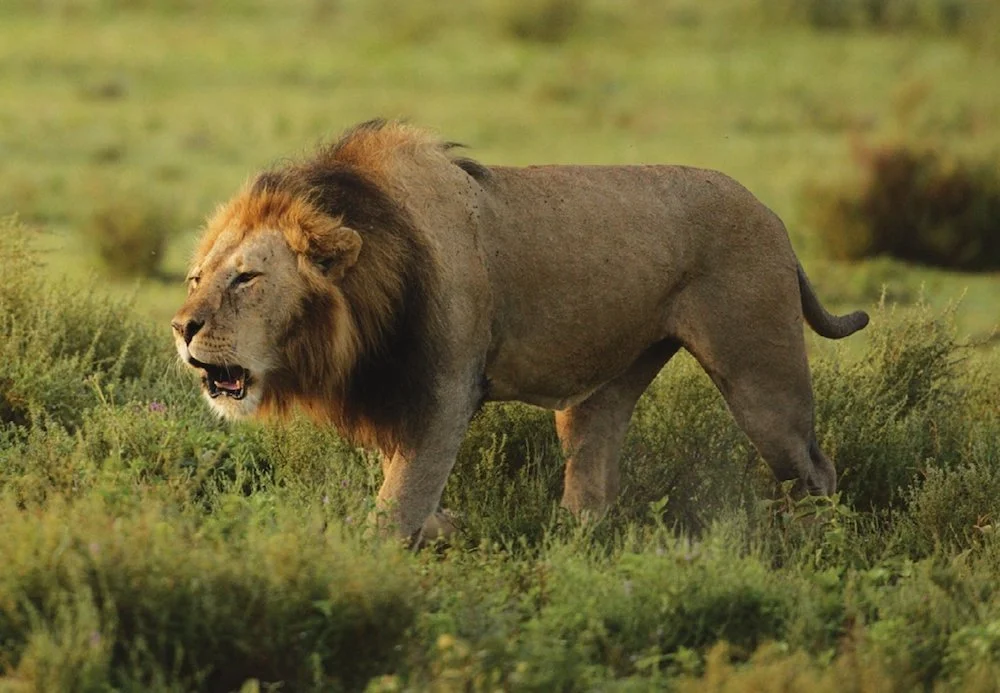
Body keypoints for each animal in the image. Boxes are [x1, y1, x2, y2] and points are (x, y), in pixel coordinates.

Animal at [171, 120, 869, 542]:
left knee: (815, 469)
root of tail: (772, 213)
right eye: (196, 277)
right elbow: (409, 491)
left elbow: (398, 502)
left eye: (245, 279)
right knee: (593, 479)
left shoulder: (444, 394)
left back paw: (815, 550)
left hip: (759, 374)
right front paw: (443, 530)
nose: (180, 328)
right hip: (605, 389)